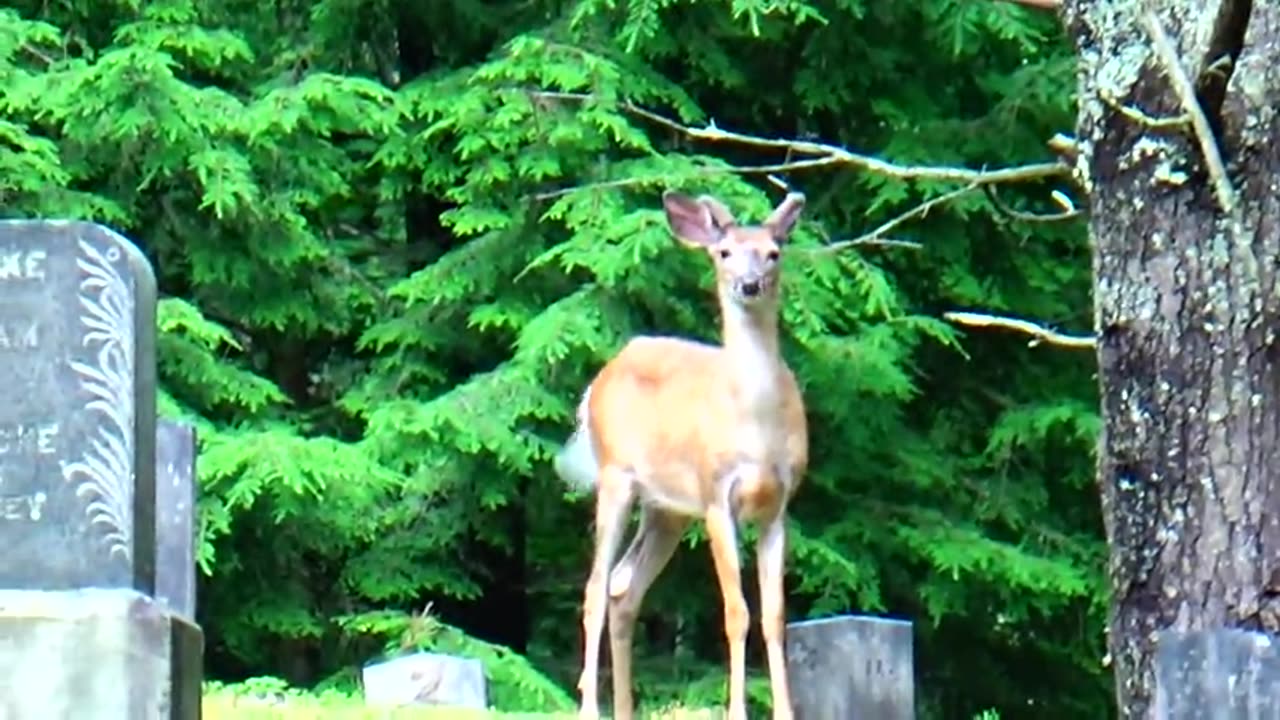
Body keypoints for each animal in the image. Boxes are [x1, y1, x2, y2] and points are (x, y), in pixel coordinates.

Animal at [552, 189, 808, 717]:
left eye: (773, 253)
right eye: (724, 252)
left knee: (624, 587)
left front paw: (786, 712)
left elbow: (774, 616)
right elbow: (736, 611)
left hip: (666, 509)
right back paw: (590, 707)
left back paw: (625, 708)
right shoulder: (716, 495)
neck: (756, 428)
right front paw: (737, 711)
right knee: (594, 587)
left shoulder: (778, 506)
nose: (749, 285)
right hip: (615, 476)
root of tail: (599, 379)